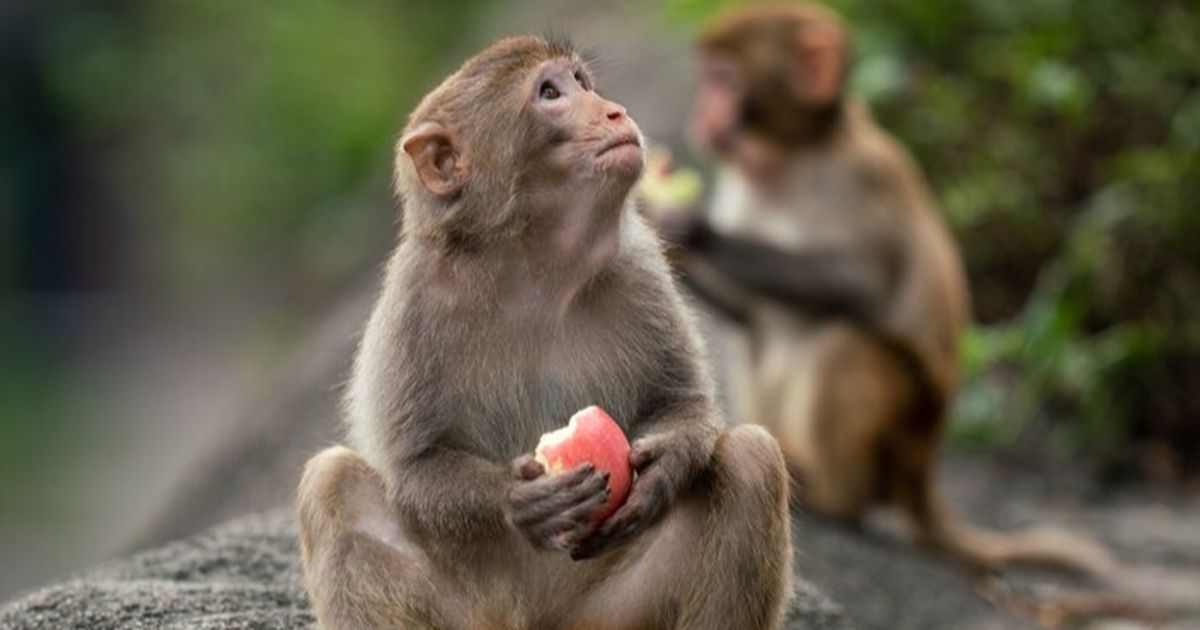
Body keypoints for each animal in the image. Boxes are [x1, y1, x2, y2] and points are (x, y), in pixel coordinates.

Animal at [295, 35, 792, 628]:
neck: (533, 269)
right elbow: (416, 466)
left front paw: (663, 467)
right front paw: (516, 500)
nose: (614, 110)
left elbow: (684, 400)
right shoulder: (413, 305)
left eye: (582, 82)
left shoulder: (639, 267)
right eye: (550, 94)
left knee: (751, 459)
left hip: (609, 616)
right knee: (332, 482)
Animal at [643, 2, 1108, 578]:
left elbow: (860, 283)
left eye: (724, 79)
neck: (789, 160)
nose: (703, 112)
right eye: (709, 76)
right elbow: (748, 314)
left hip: (902, 428)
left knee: (847, 341)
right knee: (758, 338)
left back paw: (827, 493)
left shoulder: (864, 177)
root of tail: (922, 467)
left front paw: (691, 228)